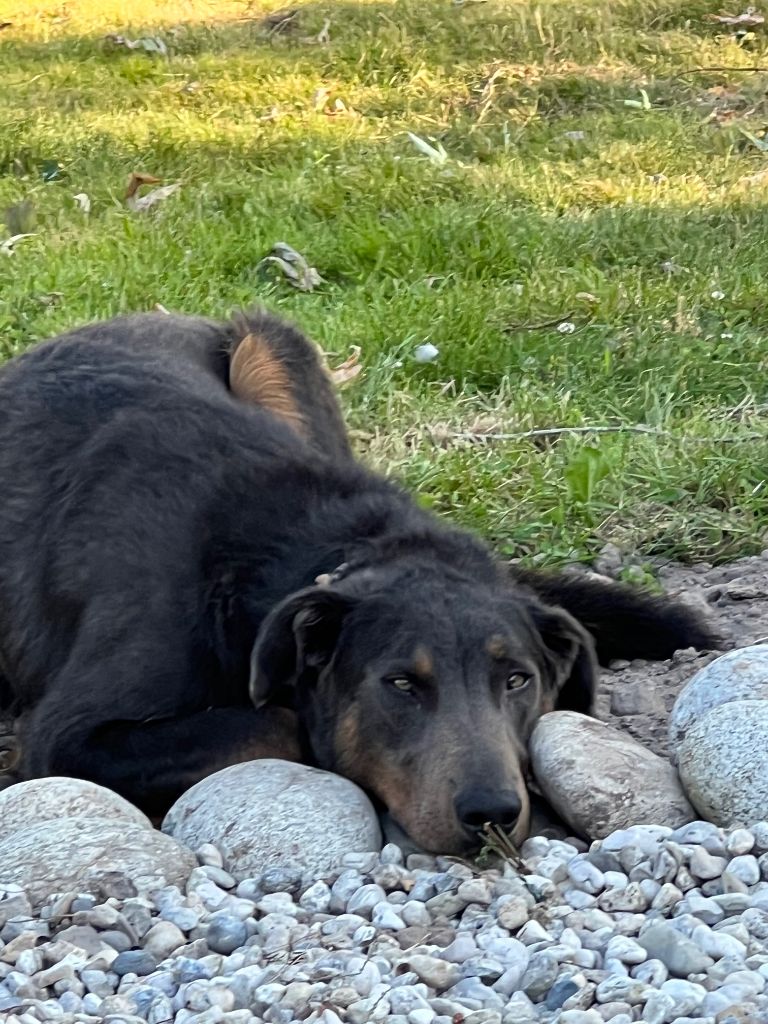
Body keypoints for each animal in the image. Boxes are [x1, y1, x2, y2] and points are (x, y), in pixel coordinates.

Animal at [0, 307, 720, 851]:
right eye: (400, 684)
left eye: (518, 680)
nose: (492, 813)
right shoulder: (67, 739)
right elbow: (281, 723)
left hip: (274, 347)